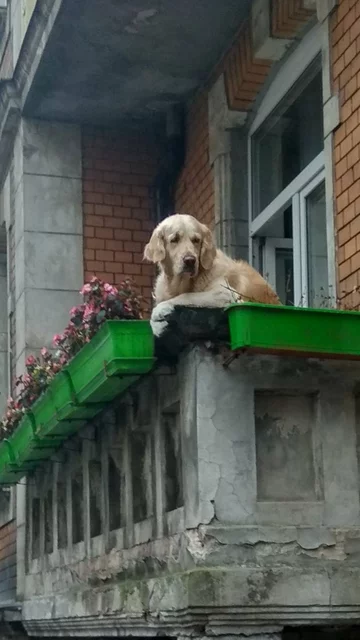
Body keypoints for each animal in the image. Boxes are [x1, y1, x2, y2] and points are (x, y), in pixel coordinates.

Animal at [144, 214, 282, 338]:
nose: (190, 260)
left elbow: (187, 295)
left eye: (196, 240)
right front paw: (157, 326)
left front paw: (160, 309)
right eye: (174, 239)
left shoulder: (225, 293)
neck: (182, 282)